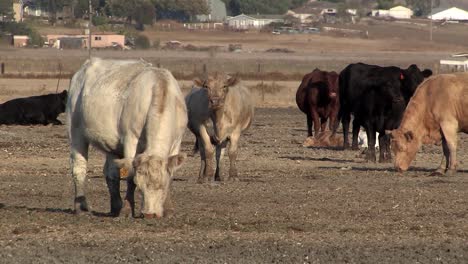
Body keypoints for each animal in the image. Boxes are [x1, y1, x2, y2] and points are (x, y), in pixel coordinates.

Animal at [66, 58, 186, 219]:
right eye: (140, 187)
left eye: (162, 186)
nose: (149, 214)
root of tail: (86, 65)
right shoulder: (131, 139)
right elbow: (130, 177)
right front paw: (128, 209)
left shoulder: (176, 143)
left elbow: (171, 175)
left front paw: (168, 209)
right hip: (76, 132)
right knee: (79, 167)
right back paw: (81, 206)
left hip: (111, 145)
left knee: (111, 173)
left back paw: (115, 206)